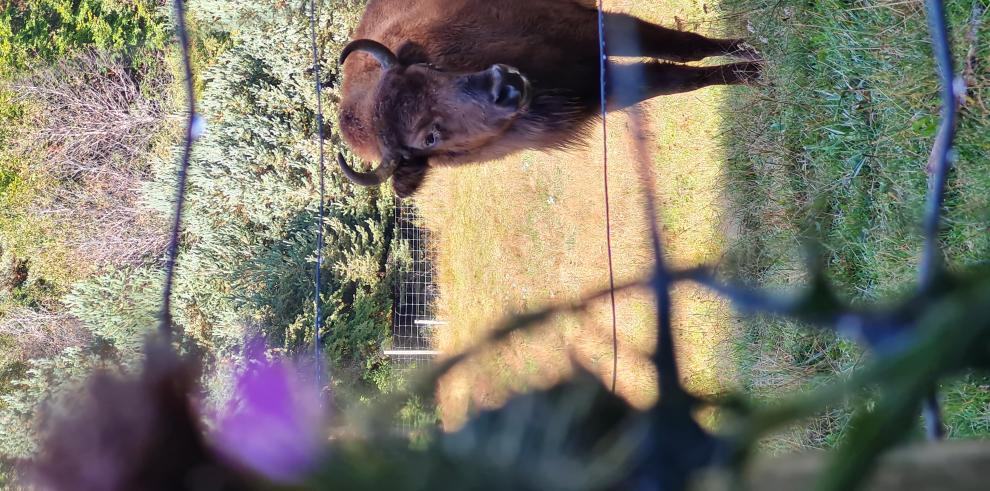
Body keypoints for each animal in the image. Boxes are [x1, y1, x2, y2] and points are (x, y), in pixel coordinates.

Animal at [338, 0, 764, 196]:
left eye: (429, 68)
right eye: (428, 137)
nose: (505, 85)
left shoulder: (586, 30)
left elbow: (682, 47)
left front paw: (750, 55)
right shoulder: (597, 87)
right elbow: (673, 77)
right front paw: (751, 70)